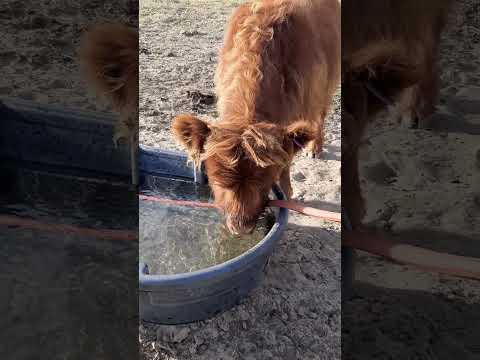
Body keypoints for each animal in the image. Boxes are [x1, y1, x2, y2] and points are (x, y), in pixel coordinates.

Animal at [172, 0, 342, 235]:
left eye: (264, 180)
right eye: (219, 181)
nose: (240, 228)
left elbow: (286, 162)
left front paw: (288, 193)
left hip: (326, 84)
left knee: (321, 115)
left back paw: (314, 148)